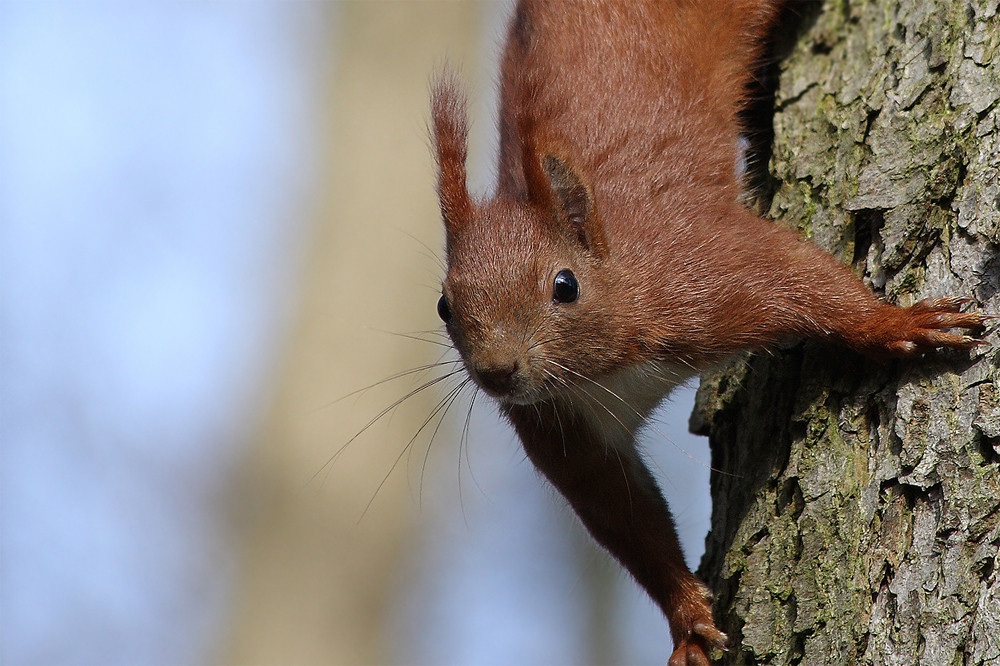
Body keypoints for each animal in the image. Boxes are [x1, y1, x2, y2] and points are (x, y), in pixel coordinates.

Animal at [426, 2, 988, 660]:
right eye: (443, 305)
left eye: (564, 285)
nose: (496, 372)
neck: (609, 363)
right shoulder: (562, 419)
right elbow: (620, 510)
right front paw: (688, 615)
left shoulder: (702, 273)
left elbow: (794, 275)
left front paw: (893, 322)